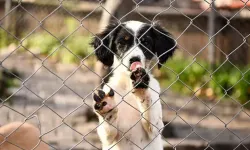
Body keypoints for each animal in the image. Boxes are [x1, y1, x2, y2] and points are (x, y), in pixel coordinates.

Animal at [90, 20, 176, 149]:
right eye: (121, 42)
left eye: (146, 42)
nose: (135, 59)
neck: (127, 85)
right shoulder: (107, 138)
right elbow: (107, 128)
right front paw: (106, 107)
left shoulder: (156, 128)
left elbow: (149, 106)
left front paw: (141, 86)